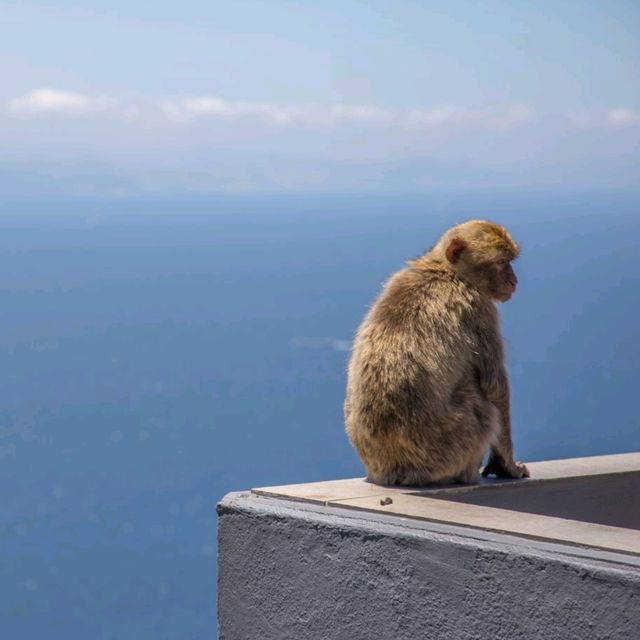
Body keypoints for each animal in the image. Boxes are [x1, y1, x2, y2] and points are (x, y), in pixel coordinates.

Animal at [348, 220, 528, 484]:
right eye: (501, 262)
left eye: (509, 261)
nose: (514, 281)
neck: (447, 270)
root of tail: (394, 471)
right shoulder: (481, 309)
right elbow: (495, 387)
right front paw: (506, 465)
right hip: (449, 446)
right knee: (481, 405)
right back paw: (467, 474)